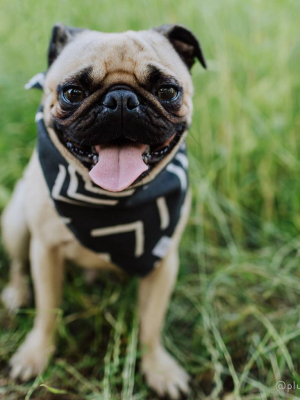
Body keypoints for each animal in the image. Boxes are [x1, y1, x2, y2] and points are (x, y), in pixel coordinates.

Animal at [0, 23, 206, 398]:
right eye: (72, 92)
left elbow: (151, 324)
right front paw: (36, 354)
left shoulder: (163, 261)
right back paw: (16, 294)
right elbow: (47, 310)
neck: (111, 202)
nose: (121, 99)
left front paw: (159, 369)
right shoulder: (45, 252)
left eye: (168, 90)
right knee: (19, 266)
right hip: (16, 223)